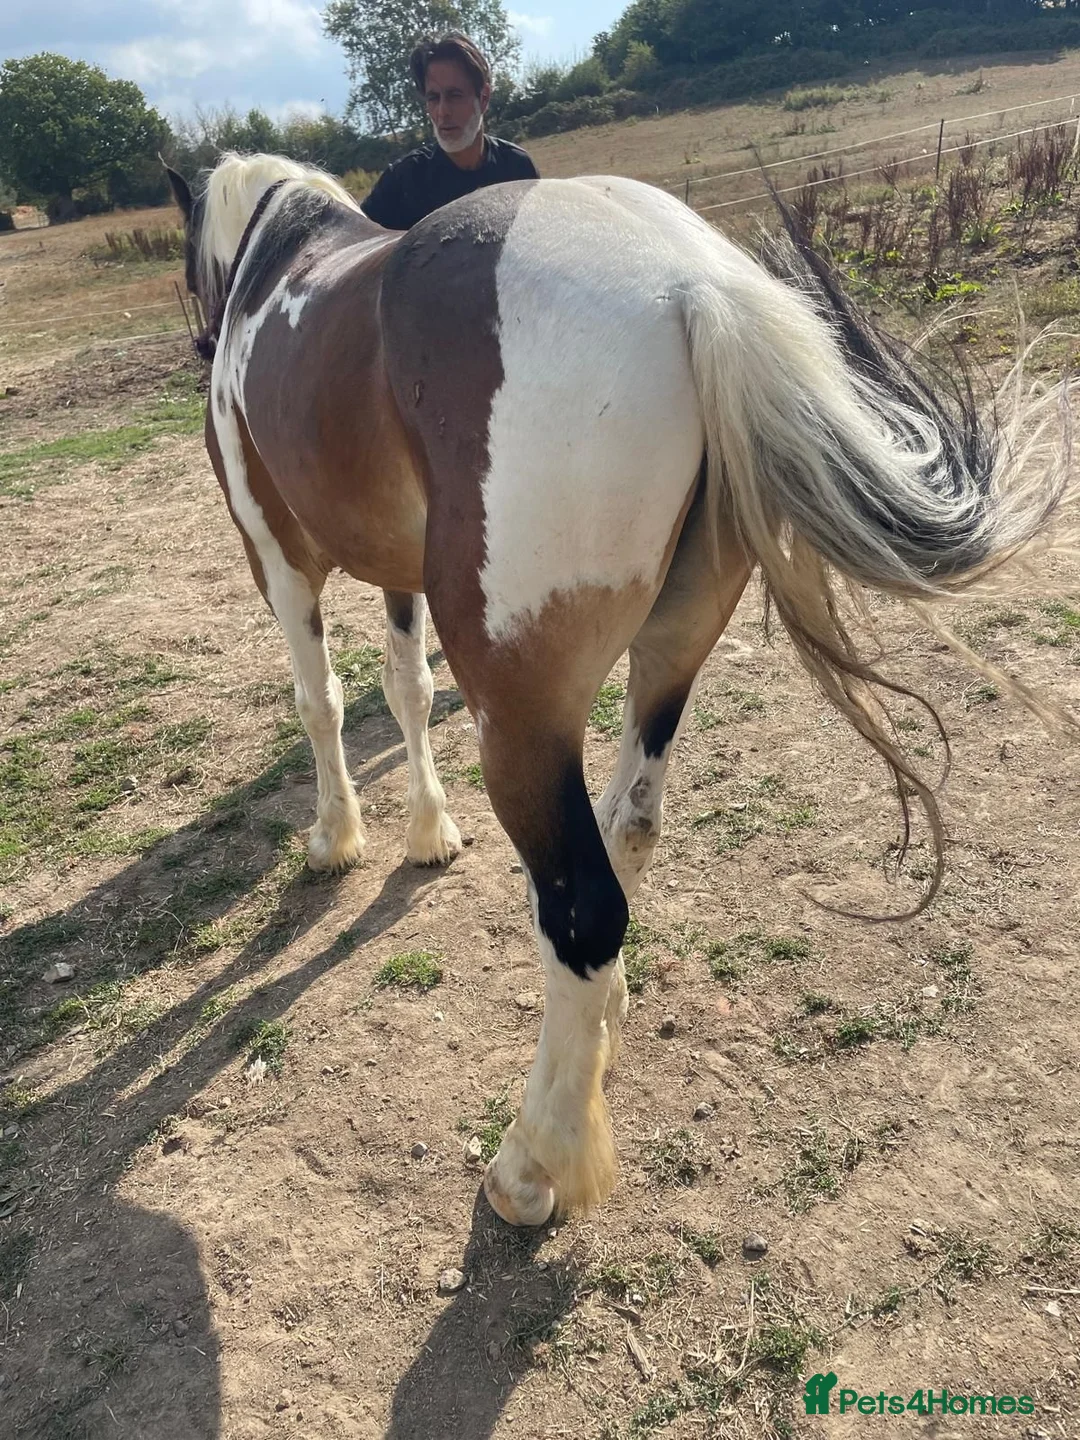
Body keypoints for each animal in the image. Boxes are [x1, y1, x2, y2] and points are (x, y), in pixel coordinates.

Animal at [164, 151, 1071, 1228]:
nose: (199, 340)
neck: (280, 260)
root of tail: (690, 283)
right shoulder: (396, 571)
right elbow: (406, 690)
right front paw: (428, 832)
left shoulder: (276, 557)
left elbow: (323, 702)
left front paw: (335, 838)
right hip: (670, 654)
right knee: (629, 827)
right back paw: (607, 1022)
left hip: (522, 716)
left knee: (583, 906)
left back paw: (533, 1163)